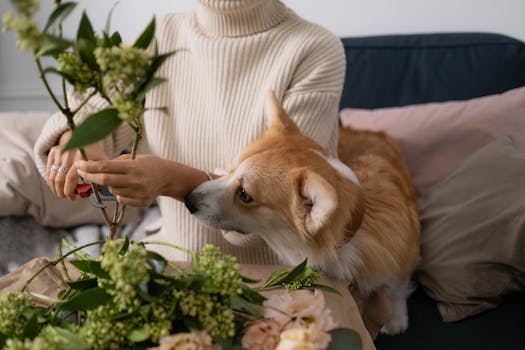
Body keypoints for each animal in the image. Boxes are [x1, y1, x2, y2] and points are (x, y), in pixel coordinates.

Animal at [184, 90, 422, 334]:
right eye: (233, 170)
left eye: (244, 194)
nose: (188, 199)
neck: (348, 239)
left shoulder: (403, 257)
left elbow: (396, 288)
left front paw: (396, 318)